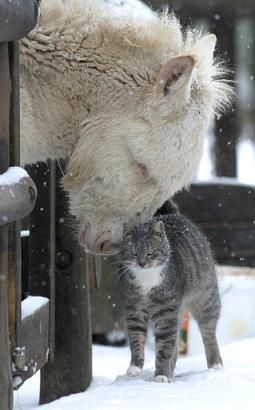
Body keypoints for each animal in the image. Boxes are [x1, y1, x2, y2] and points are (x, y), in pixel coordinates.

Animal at [116, 203, 222, 382]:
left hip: (206, 298)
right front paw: (135, 368)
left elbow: (164, 346)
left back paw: (215, 365)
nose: (141, 263)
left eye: (150, 252)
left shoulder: (166, 311)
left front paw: (161, 375)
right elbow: (136, 339)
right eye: (133, 252)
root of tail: (173, 215)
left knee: (209, 333)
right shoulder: (134, 308)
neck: (147, 278)